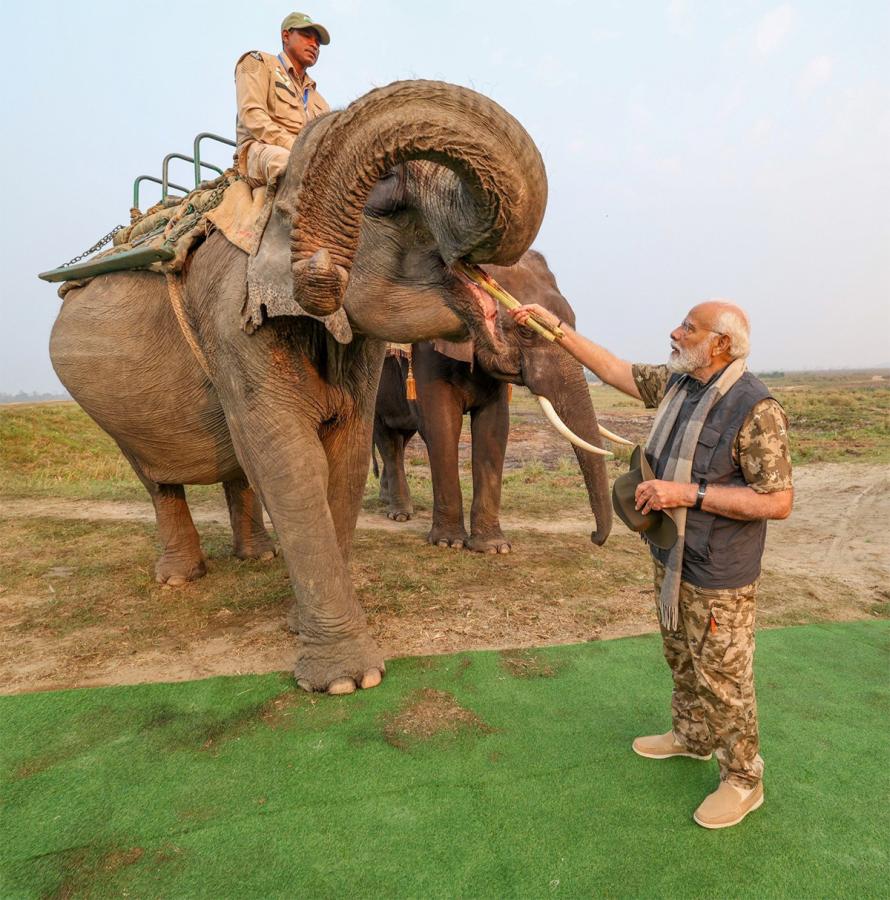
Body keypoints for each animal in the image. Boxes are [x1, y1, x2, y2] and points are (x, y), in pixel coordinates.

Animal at [48, 81, 552, 692]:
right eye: (386, 190)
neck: (277, 196)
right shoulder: (231, 319)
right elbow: (288, 457)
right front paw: (347, 681)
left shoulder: (357, 343)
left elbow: (345, 454)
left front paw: (299, 628)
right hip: (105, 403)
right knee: (157, 478)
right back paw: (179, 579)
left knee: (237, 467)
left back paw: (257, 558)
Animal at [372, 250, 612, 552]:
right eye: (526, 331)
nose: (594, 537)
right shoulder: (429, 349)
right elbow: (441, 425)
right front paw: (449, 543)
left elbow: (494, 426)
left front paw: (494, 547)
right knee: (387, 439)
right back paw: (400, 513)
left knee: (402, 438)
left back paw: (388, 500)